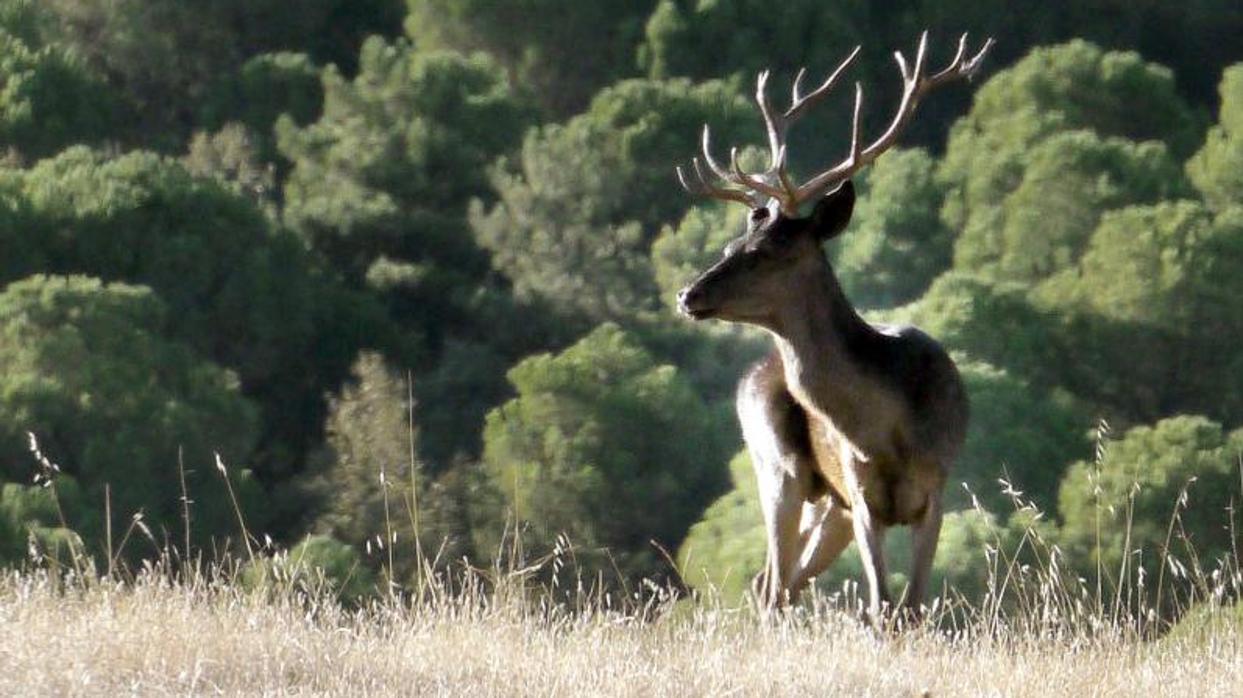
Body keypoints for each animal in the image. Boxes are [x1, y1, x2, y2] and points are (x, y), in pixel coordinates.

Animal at [671, 32, 989, 618]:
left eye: (765, 250)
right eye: (731, 245)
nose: (688, 295)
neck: (890, 431)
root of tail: (753, 372)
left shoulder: (934, 489)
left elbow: (912, 607)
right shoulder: (861, 497)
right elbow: (882, 606)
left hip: (827, 505)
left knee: (778, 581)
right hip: (778, 467)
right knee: (772, 584)